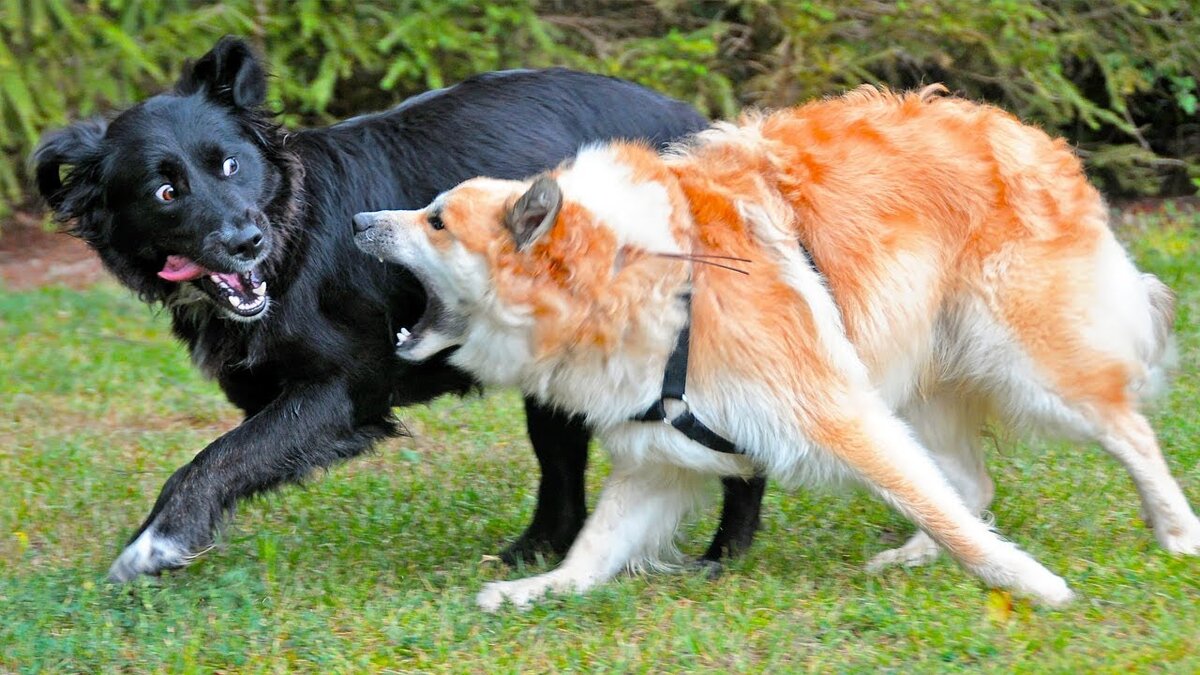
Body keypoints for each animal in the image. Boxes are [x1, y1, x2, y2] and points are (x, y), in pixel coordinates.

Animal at [35, 36, 768, 578]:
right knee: (563, 475)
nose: (246, 242)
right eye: (164, 191)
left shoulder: (347, 387)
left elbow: (215, 459)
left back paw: (722, 556)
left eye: (231, 166)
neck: (292, 236)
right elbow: (239, 453)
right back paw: (529, 553)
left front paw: (153, 545)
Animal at [350, 86, 1195, 607]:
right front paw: (539, 589)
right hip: (918, 377)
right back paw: (914, 556)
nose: (359, 222)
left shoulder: (837, 413)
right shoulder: (660, 458)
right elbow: (594, 546)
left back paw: (1178, 531)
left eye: (436, 221)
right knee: (972, 484)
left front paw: (1034, 585)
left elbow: (938, 507)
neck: (639, 278)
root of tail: (1027, 134)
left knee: (1127, 431)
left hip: (1027, 366)